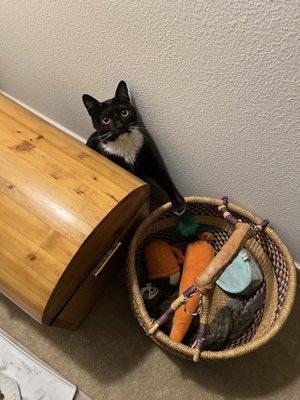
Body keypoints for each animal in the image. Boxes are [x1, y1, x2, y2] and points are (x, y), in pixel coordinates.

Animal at [82, 81, 185, 216]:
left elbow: (165, 179)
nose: (119, 125)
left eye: (124, 112)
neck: (125, 144)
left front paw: (178, 204)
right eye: (105, 120)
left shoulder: (151, 160)